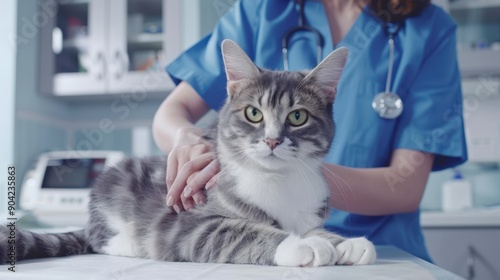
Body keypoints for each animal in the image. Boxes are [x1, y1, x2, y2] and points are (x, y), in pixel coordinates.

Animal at [0, 40, 376, 266]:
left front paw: (343, 242)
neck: (278, 179)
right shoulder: (190, 224)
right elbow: (244, 231)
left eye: (297, 117)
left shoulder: (307, 208)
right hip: (115, 187)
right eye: (254, 113)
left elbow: (310, 227)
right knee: (100, 239)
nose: (271, 141)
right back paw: (129, 244)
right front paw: (301, 245)